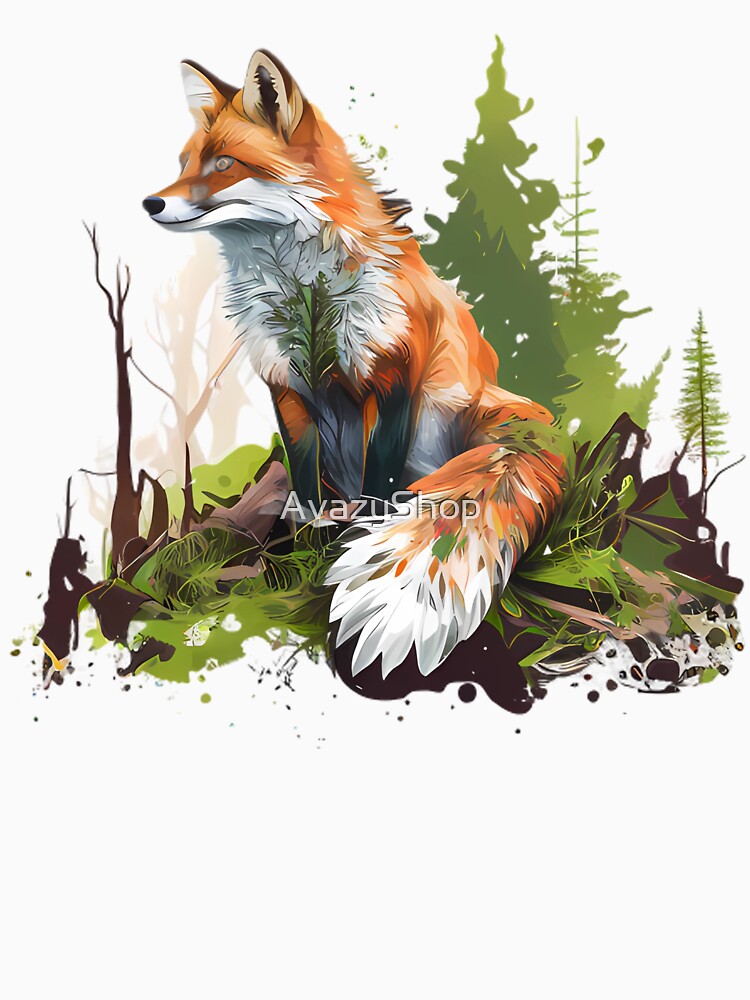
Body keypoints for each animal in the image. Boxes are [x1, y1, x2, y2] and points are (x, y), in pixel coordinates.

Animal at [143, 49, 567, 679]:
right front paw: (309, 537)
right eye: (185, 163)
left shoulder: (392, 381)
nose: (150, 202)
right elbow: (305, 479)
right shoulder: (286, 386)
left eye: (224, 163)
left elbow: (380, 483)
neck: (305, 295)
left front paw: (354, 531)